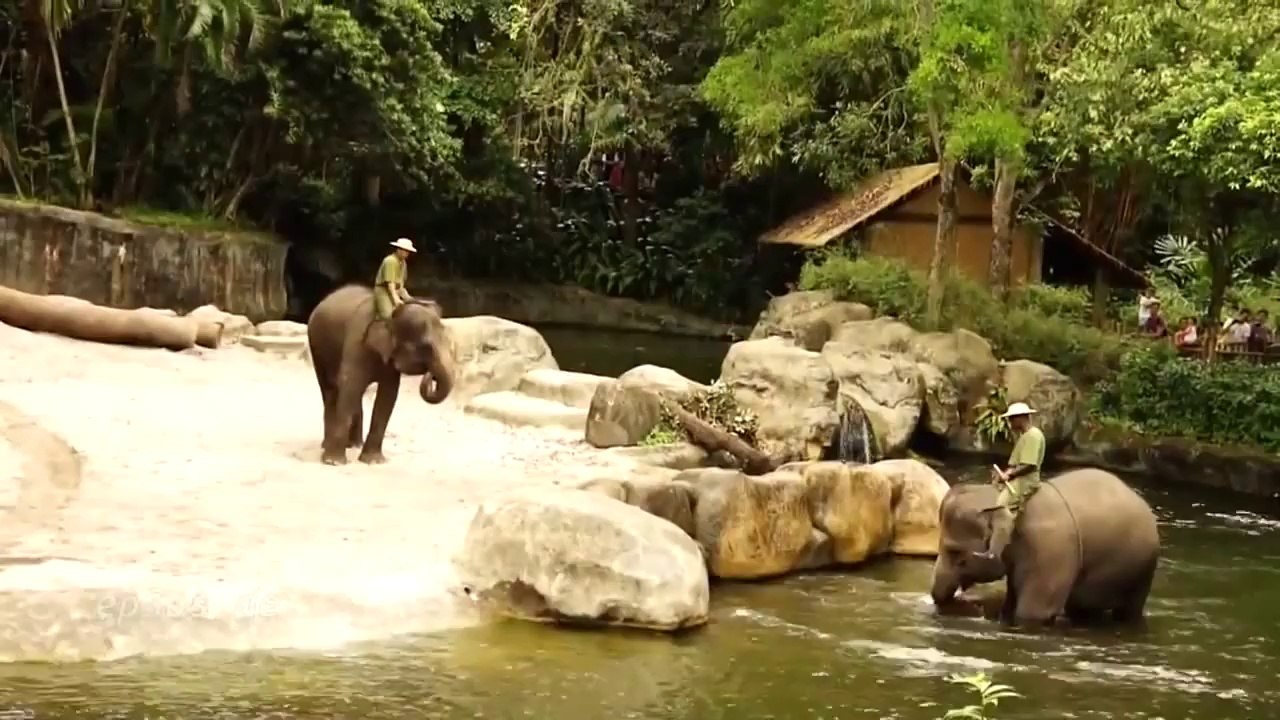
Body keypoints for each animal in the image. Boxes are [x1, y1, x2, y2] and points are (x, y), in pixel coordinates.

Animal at [306, 284, 454, 465]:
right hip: (316, 346)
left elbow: (388, 395)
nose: (430, 375)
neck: (390, 314)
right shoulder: (357, 344)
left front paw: (373, 461)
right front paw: (334, 462)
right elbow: (350, 387)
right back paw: (329, 446)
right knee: (331, 391)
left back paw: (354, 445)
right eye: (425, 347)